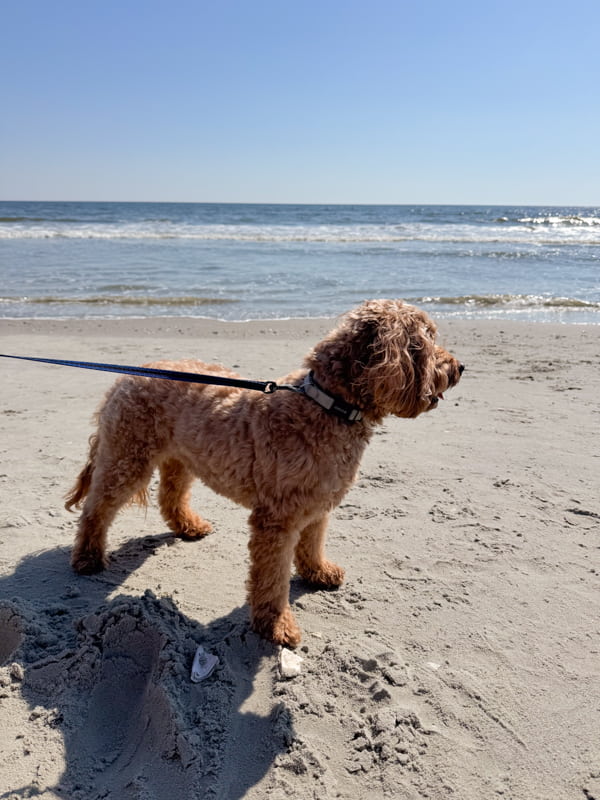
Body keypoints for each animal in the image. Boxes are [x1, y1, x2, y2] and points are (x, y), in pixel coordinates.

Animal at [65, 296, 462, 648]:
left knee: (170, 496)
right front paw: (275, 625)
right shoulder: (276, 520)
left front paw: (318, 572)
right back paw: (87, 558)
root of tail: (124, 379)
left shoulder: (317, 505)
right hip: (127, 457)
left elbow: (312, 544)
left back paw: (188, 526)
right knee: (96, 509)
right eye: (424, 341)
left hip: (180, 458)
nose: (459, 368)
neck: (328, 405)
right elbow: (272, 579)